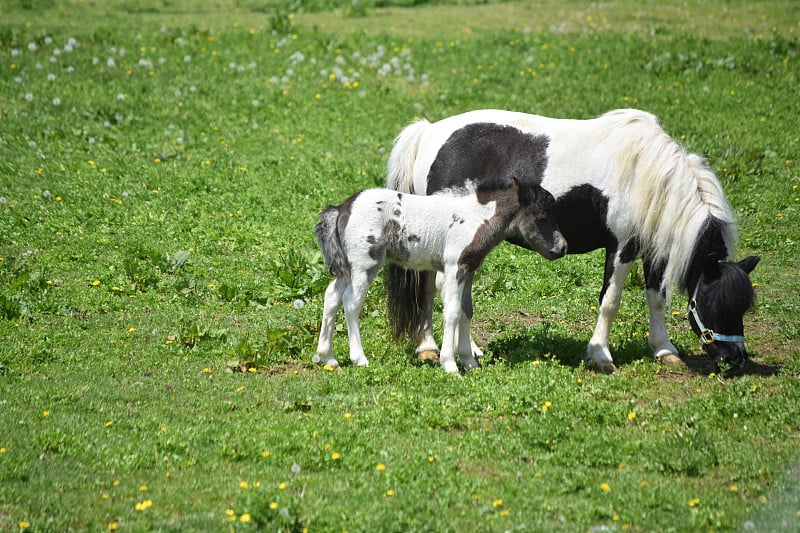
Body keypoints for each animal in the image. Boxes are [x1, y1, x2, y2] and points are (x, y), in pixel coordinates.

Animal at [316, 177, 564, 372]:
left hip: (347, 269)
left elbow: (466, 311)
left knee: (331, 298)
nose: (561, 248)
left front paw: (469, 362)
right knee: (351, 303)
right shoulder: (454, 268)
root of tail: (341, 208)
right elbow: (452, 312)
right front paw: (450, 364)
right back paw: (359, 358)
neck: (476, 218)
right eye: (541, 216)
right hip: (364, 265)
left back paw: (327, 357)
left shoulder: (469, 270)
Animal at [384, 109, 760, 370]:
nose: (736, 360)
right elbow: (610, 301)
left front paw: (664, 350)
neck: (646, 175)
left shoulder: (654, 248)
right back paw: (445, 349)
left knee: (440, 289)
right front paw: (600, 354)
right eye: (715, 303)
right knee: (439, 288)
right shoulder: (622, 247)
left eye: (742, 306)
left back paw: (447, 348)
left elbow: (656, 298)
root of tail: (428, 132)